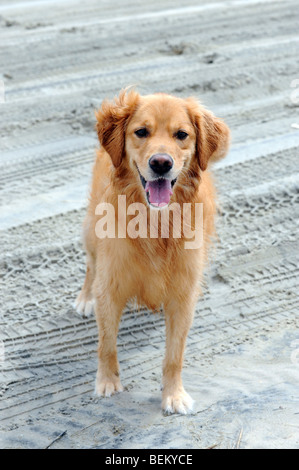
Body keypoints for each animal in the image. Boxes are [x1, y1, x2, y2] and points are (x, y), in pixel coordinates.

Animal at [74, 90, 230, 414]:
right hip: (92, 230)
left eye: (181, 134)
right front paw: (107, 382)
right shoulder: (110, 285)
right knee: (91, 265)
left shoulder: (183, 294)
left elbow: (174, 355)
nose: (161, 163)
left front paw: (174, 395)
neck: (155, 224)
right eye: (141, 132)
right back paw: (84, 299)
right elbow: (106, 343)